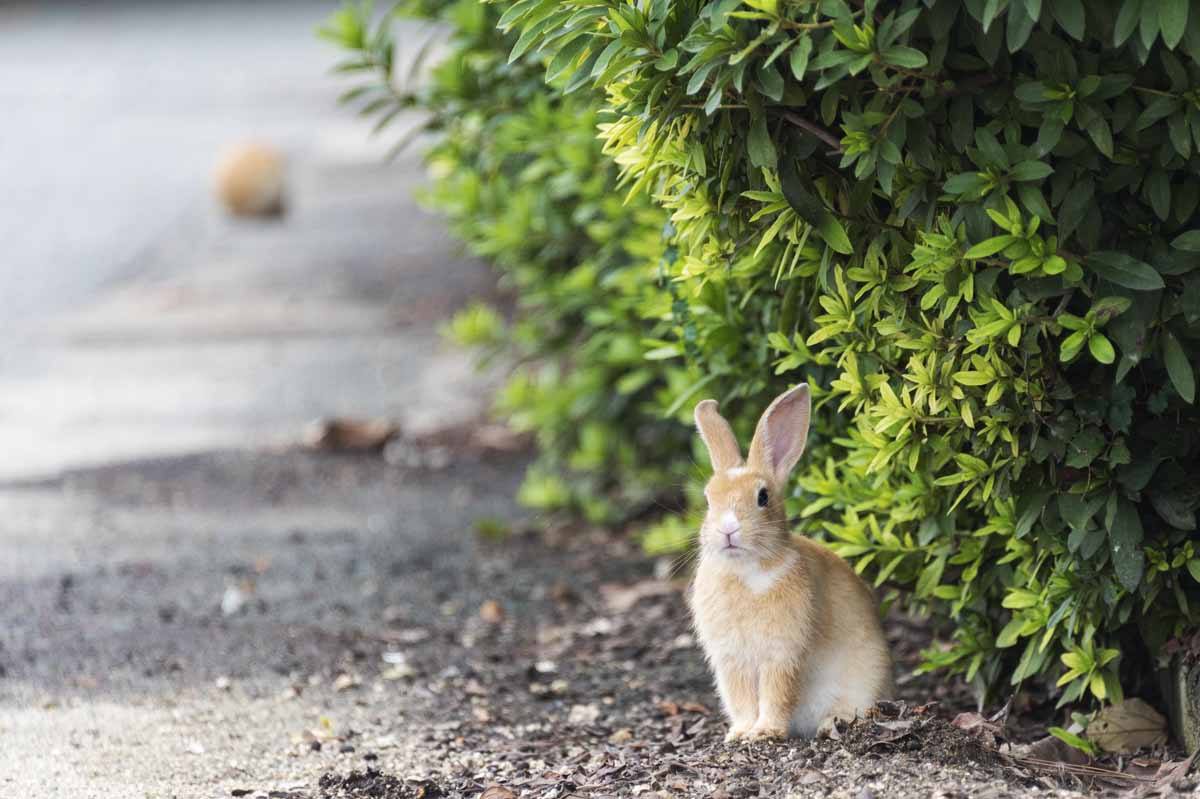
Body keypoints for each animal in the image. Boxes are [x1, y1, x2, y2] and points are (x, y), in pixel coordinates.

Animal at [691, 383, 897, 739]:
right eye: (708, 499)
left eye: (763, 497)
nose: (728, 529)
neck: (747, 570)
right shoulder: (732, 660)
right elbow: (742, 699)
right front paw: (740, 733)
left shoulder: (782, 653)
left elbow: (777, 694)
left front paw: (765, 733)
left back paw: (832, 723)